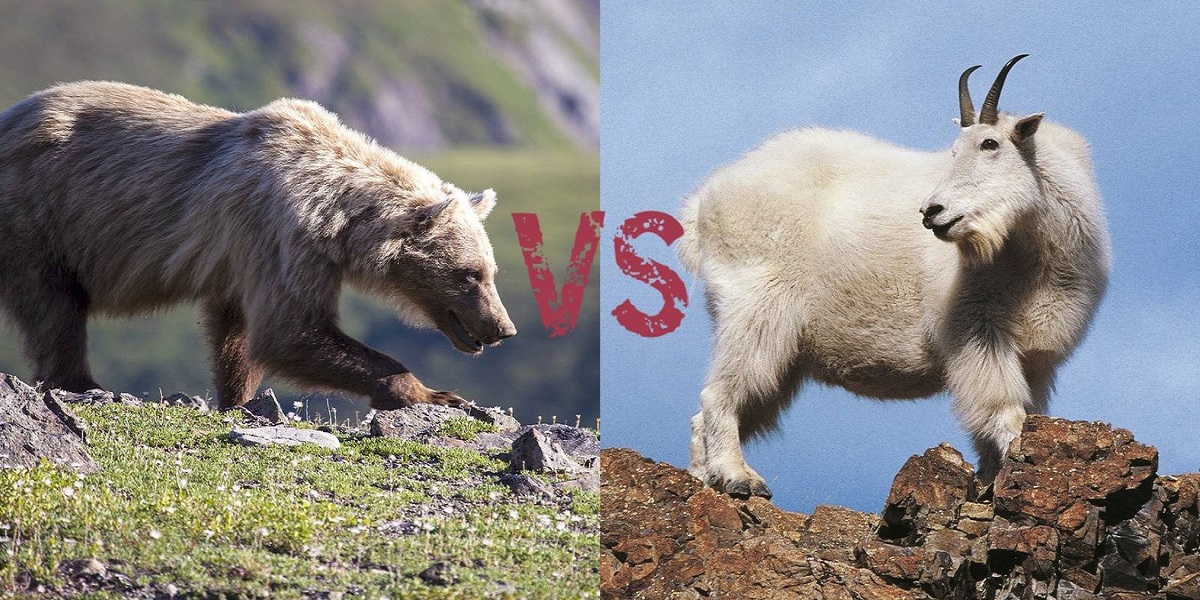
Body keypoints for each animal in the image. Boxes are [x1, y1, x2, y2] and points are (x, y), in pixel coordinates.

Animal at [0, 81, 516, 410]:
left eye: (492, 272)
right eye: (469, 274)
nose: (502, 328)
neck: (339, 217)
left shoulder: (241, 255)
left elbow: (237, 331)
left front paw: (237, 398)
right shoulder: (282, 231)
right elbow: (290, 329)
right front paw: (435, 393)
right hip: (37, 216)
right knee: (55, 307)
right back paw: (82, 382)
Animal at [678, 55, 1110, 498]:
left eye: (990, 144)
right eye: (953, 150)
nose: (932, 211)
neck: (1032, 252)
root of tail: (705, 201)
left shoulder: (1038, 354)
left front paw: (991, 481)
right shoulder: (978, 330)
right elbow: (1005, 411)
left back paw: (703, 477)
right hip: (756, 306)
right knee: (719, 393)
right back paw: (738, 477)